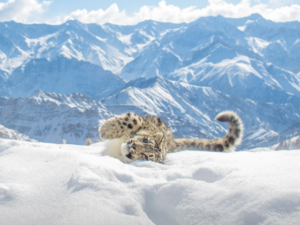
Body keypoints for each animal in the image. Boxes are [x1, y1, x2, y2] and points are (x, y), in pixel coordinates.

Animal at [99, 111, 244, 163]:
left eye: (146, 156)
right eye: (145, 140)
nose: (133, 146)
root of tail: (172, 143)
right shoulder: (143, 122)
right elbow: (132, 120)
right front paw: (105, 130)